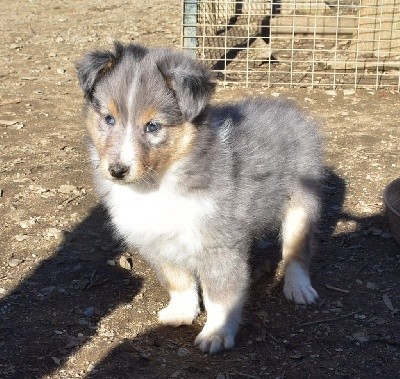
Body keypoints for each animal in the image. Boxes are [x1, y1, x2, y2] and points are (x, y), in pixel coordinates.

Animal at [76, 43, 324, 354]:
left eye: (153, 126)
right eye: (108, 119)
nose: (117, 171)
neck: (157, 184)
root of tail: (290, 109)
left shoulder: (218, 244)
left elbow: (221, 295)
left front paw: (215, 334)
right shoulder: (156, 241)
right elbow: (177, 281)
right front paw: (181, 313)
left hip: (301, 205)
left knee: (296, 251)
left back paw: (298, 288)